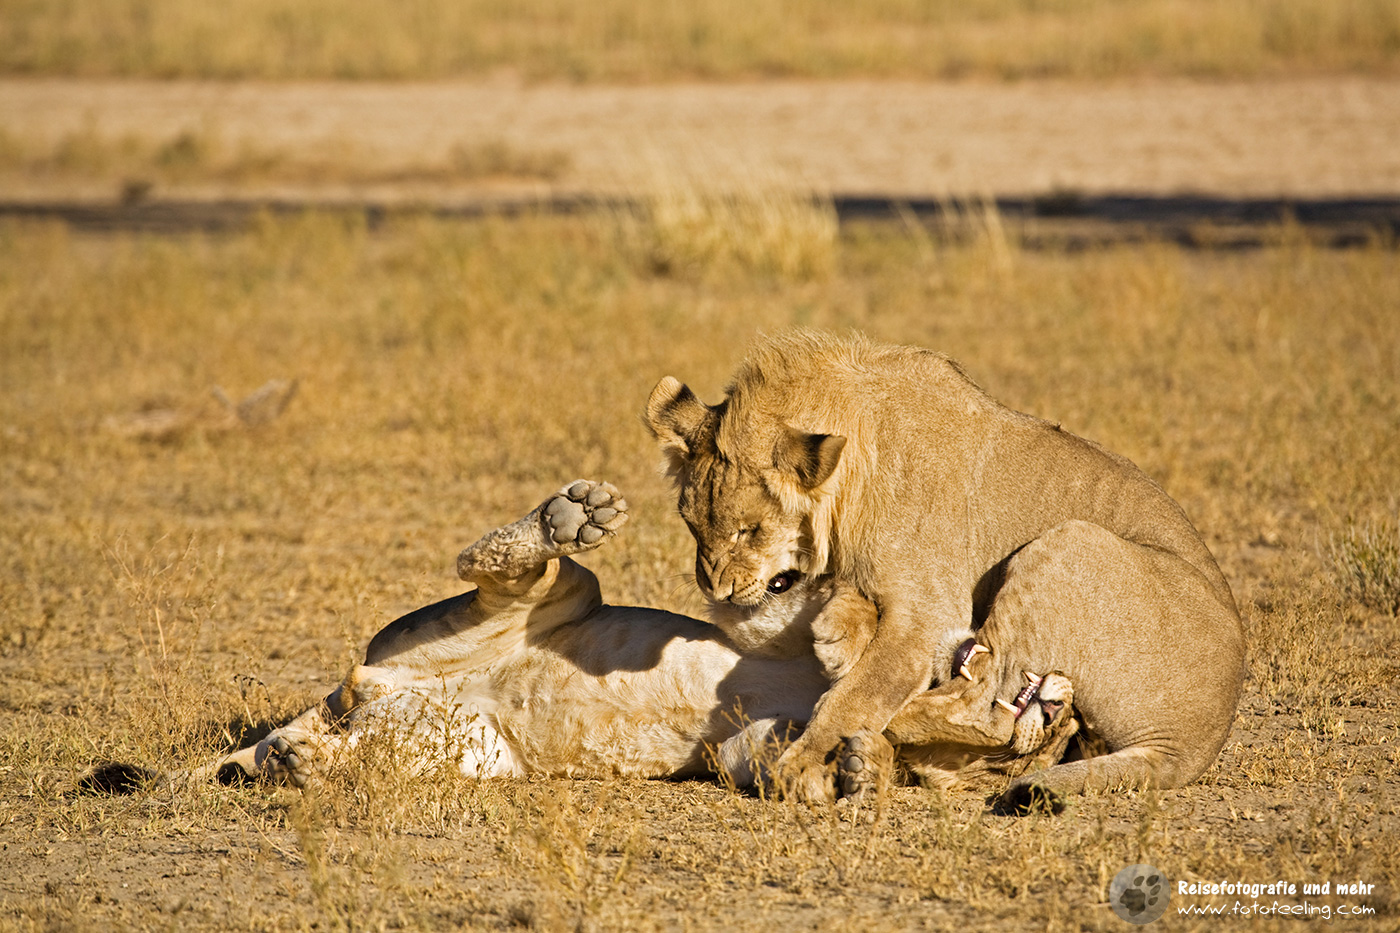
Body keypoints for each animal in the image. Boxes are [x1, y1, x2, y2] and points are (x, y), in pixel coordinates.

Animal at [645, 329, 1247, 805]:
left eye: (750, 530)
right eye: (691, 524)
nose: (717, 592)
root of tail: (1196, 741)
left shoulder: (929, 612)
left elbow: (857, 694)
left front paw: (804, 763)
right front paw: (840, 632)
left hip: (1073, 542)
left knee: (986, 704)